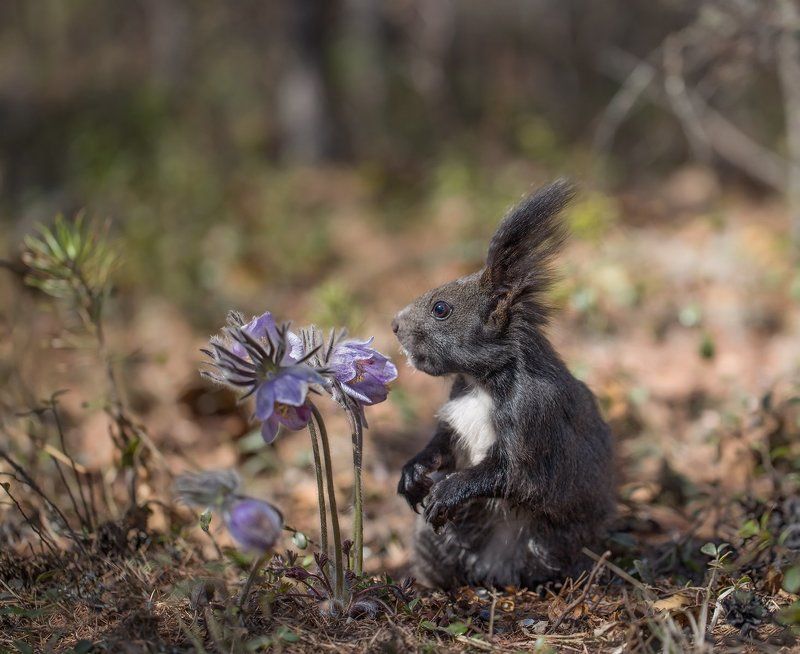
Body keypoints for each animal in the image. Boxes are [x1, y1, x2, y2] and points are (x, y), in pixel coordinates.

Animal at [393, 180, 615, 589]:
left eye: (441, 309)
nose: (394, 325)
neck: (482, 382)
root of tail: (493, 574)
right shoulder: (455, 406)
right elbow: (443, 444)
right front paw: (414, 472)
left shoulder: (534, 413)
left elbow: (515, 476)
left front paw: (450, 489)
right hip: (436, 540)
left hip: (548, 543)